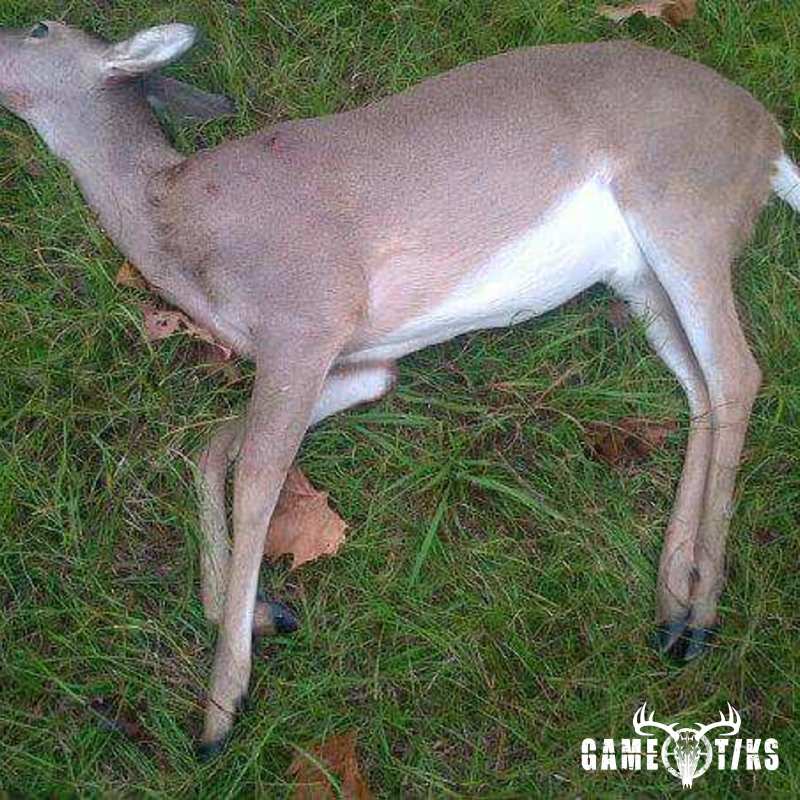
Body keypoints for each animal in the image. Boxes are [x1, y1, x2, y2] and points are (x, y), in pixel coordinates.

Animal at [1, 19, 798, 756]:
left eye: (40, 27)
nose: (13, 33)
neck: (176, 218)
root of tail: (770, 137)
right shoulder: (361, 362)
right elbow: (211, 449)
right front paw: (259, 613)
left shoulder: (307, 315)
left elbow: (256, 479)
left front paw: (221, 706)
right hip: (636, 274)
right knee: (701, 389)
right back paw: (672, 603)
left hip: (682, 204)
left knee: (738, 370)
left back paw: (702, 614)